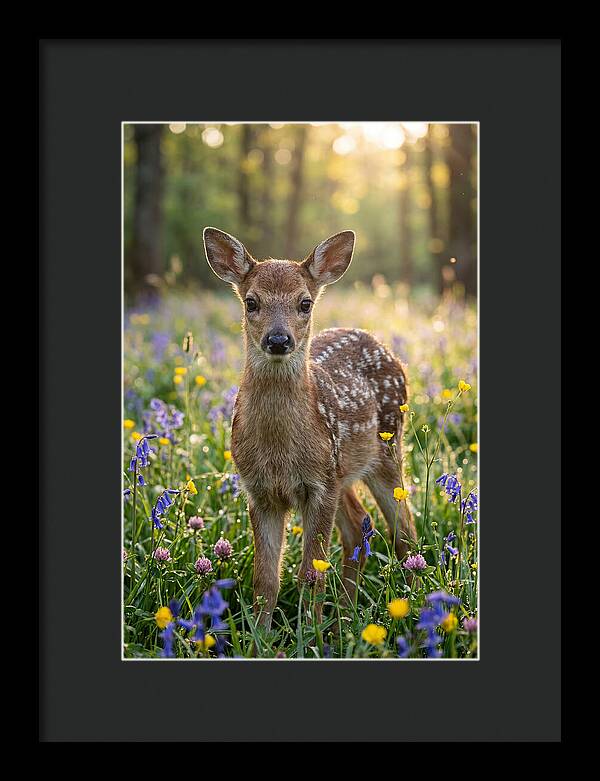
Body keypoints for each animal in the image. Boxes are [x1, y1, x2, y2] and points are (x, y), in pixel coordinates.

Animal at [203, 227, 415, 631]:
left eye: (304, 303)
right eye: (251, 302)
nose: (278, 339)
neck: (279, 451)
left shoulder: (318, 486)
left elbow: (311, 573)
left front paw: (309, 633)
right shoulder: (260, 490)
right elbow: (265, 578)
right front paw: (260, 636)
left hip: (385, 450)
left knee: (404, 532)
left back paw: (410, 607)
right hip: (342, 471)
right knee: (358, 526)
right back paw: (346, 617)